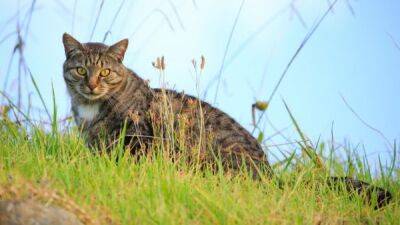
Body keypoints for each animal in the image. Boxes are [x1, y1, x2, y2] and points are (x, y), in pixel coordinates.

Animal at [61, 32, 390, 208]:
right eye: (81, 70)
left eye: (105, 72)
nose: (91, 84)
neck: (91, 108)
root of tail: (271, 176)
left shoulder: (138, 137)